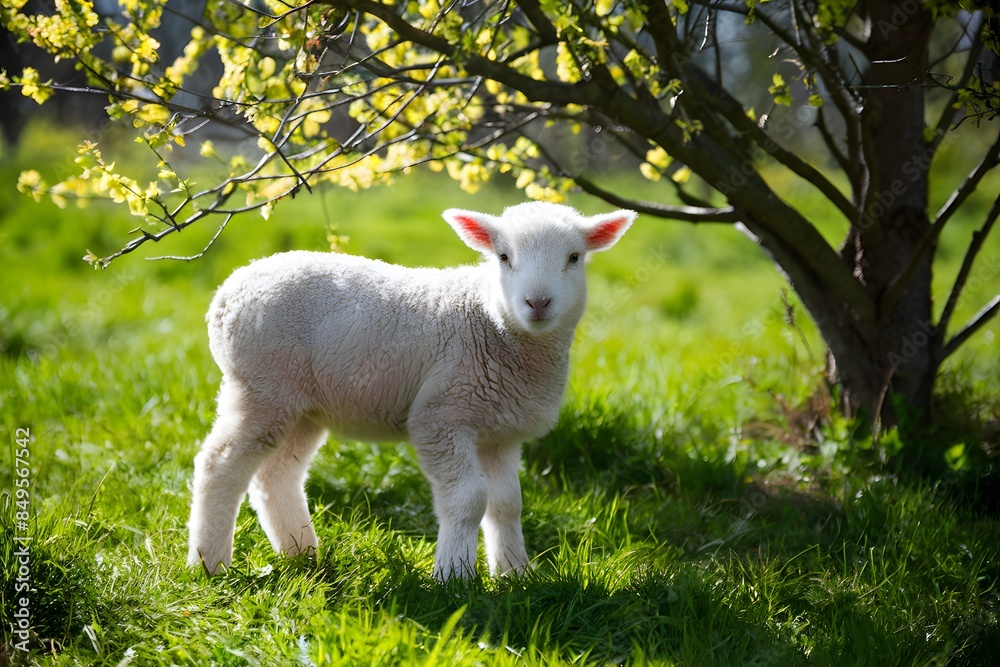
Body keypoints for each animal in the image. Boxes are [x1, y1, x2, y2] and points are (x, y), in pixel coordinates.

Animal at [187, 201, 636, 579]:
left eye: (574, 258)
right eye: (504, 257)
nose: (537, 303)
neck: (489, 322)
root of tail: (226, 294)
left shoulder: (500, 431)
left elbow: (507, 503)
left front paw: (515, 575)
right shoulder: (441, 417)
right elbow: (470, 499)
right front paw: (454, 576)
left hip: (300, 403)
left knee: (276, 475)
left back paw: (302, 553)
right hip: (260, 386)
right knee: (219, 465)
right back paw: (209, 564)